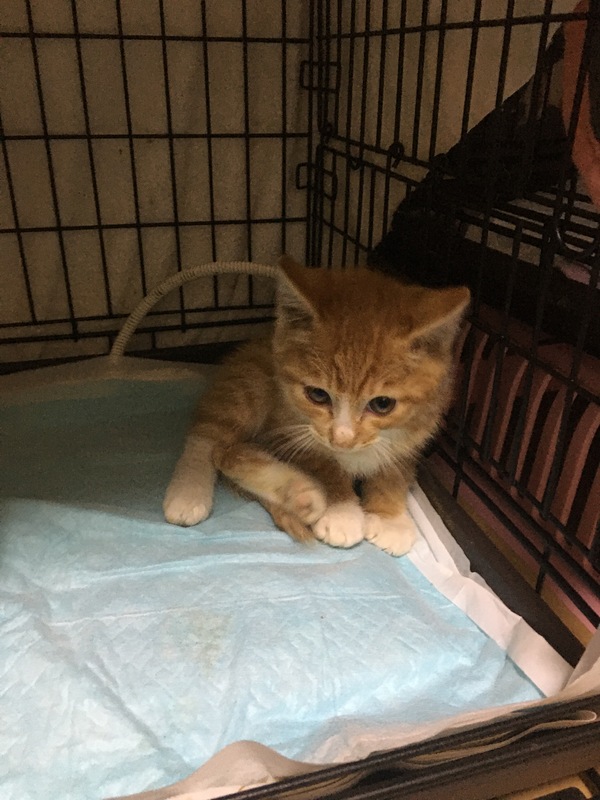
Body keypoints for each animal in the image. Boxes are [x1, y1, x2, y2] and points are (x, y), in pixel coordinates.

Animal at [163, 256, 470, 556]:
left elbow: (395, 469)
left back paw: (299, 495)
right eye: (318, 395)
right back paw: (190, 493)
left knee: (233, 451)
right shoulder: (285, 431)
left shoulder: (418, 428)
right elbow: (323, 464)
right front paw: (342, 512)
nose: (342, 439)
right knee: (215, 444)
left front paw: (390, 518)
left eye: (382, 404)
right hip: (249, 383)